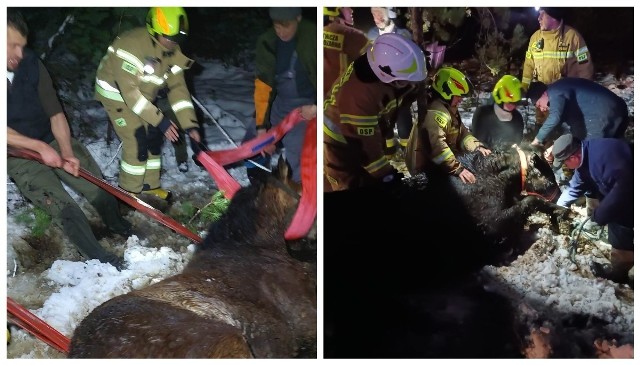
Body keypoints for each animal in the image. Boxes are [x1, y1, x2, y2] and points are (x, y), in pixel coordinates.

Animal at [324, 144, 564, 356]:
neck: (490, 178)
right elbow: (527, 204)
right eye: (545, 172)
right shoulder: (492, 224)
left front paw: (557, 215)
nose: (560, 192)